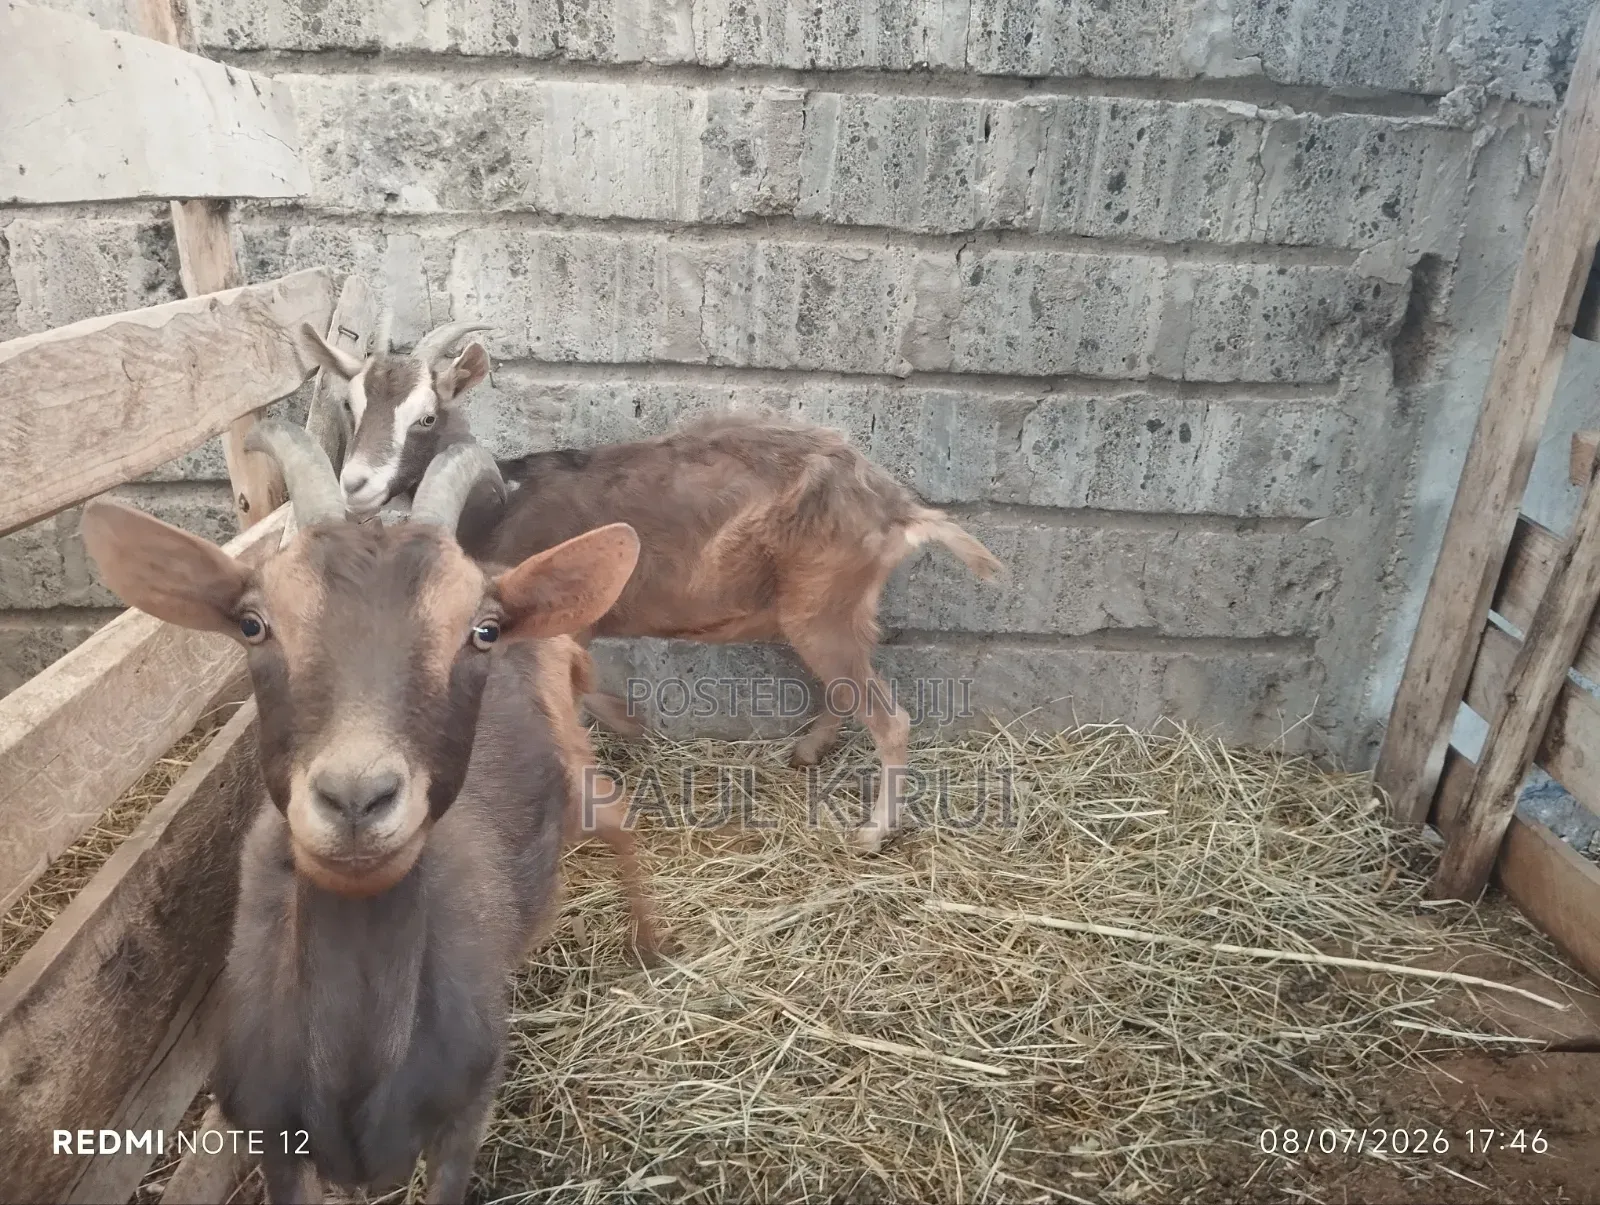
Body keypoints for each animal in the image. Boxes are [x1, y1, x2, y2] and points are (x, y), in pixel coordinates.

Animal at [80, 421, 643, 1204]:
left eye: (482, 631)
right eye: (253, 624)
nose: (355, 796)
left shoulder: (463, 1119)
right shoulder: (273, 1139)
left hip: (575, 752)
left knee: (617, 817)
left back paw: (652, 946)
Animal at [300, 321, 1005, 853]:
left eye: (425, 417)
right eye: (351, 406)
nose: (356, 484)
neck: (498, 504)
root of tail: (894, 508)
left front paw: (624, 734)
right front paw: (631, 728)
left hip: (823, 610)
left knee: (890, 718)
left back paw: (874, 832)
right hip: (823, 611)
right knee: (845, 686)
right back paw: (809, 750)